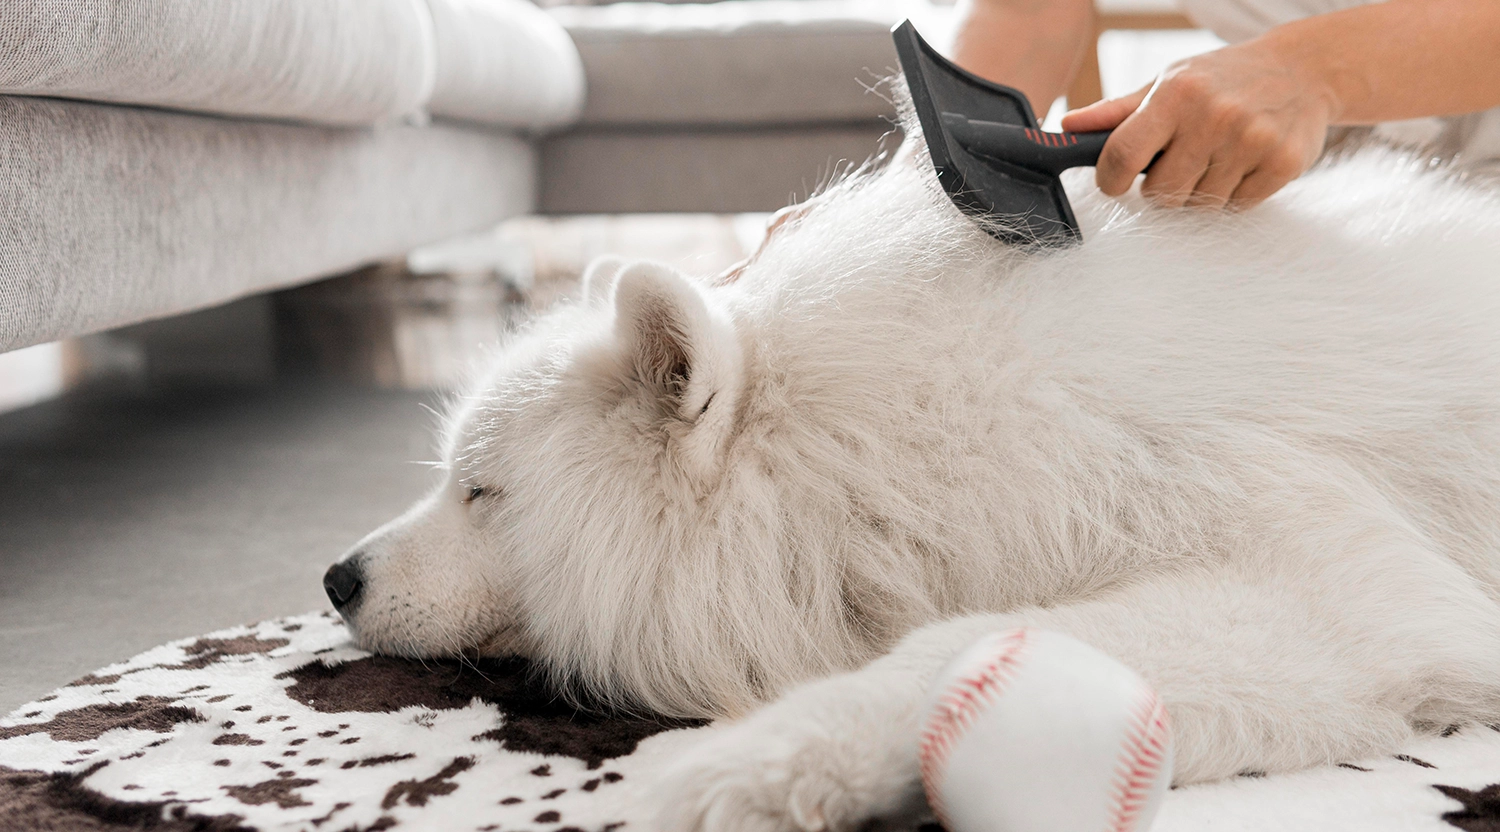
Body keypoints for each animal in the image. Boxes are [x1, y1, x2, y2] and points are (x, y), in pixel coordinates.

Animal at [328, 128, 1500, 827]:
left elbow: (957, 650)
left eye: (482, 492)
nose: (336, 578)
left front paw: (739, 765)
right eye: (454, 479)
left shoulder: (1328, 588)